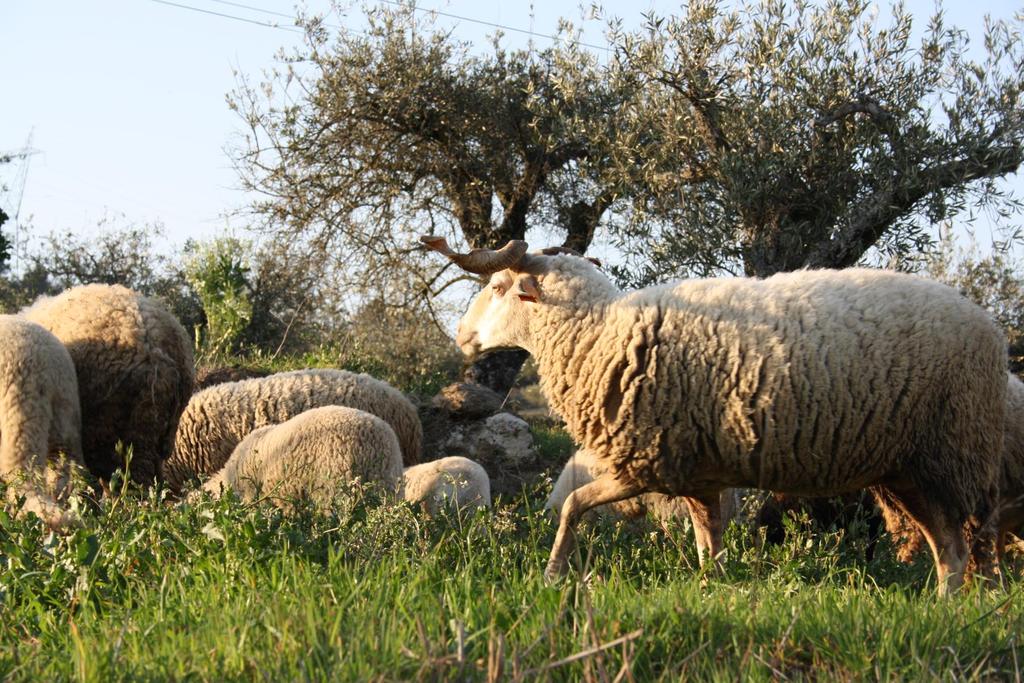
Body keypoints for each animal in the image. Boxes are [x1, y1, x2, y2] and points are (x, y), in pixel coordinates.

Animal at [423, 233, 1007, 593]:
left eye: (498, 287)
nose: (461, 336)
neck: (599, 330)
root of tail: (991, 329)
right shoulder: (697, 477)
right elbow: (710, 548)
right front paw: (712, 589)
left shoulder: (645, 464)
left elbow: (572, 506)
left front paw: (552, 574)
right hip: (905, 470)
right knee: (946, 547)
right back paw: (942, 603)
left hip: (952, 453)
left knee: (968, 544)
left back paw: (963, 608)